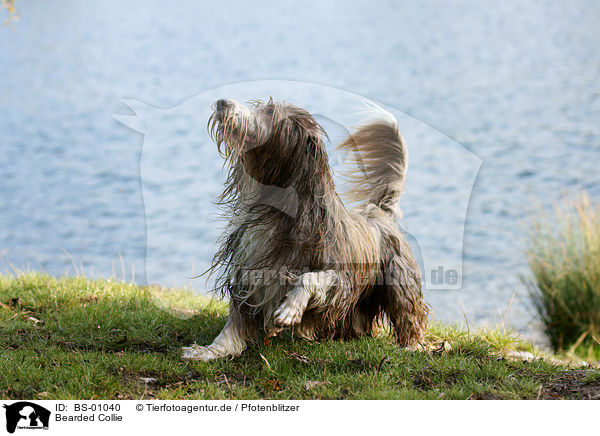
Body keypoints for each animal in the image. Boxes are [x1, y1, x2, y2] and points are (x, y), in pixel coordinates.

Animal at [180, 98, 428, 362]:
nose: (222, 102)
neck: (279, 209)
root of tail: (380, 210)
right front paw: (209, 351)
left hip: (399, 283)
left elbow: (309, 277)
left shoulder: (342, 279)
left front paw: (290, 308)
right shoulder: (248, 275)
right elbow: (233, 325)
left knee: (408, 315)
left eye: (270, 111)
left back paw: (414, 345)